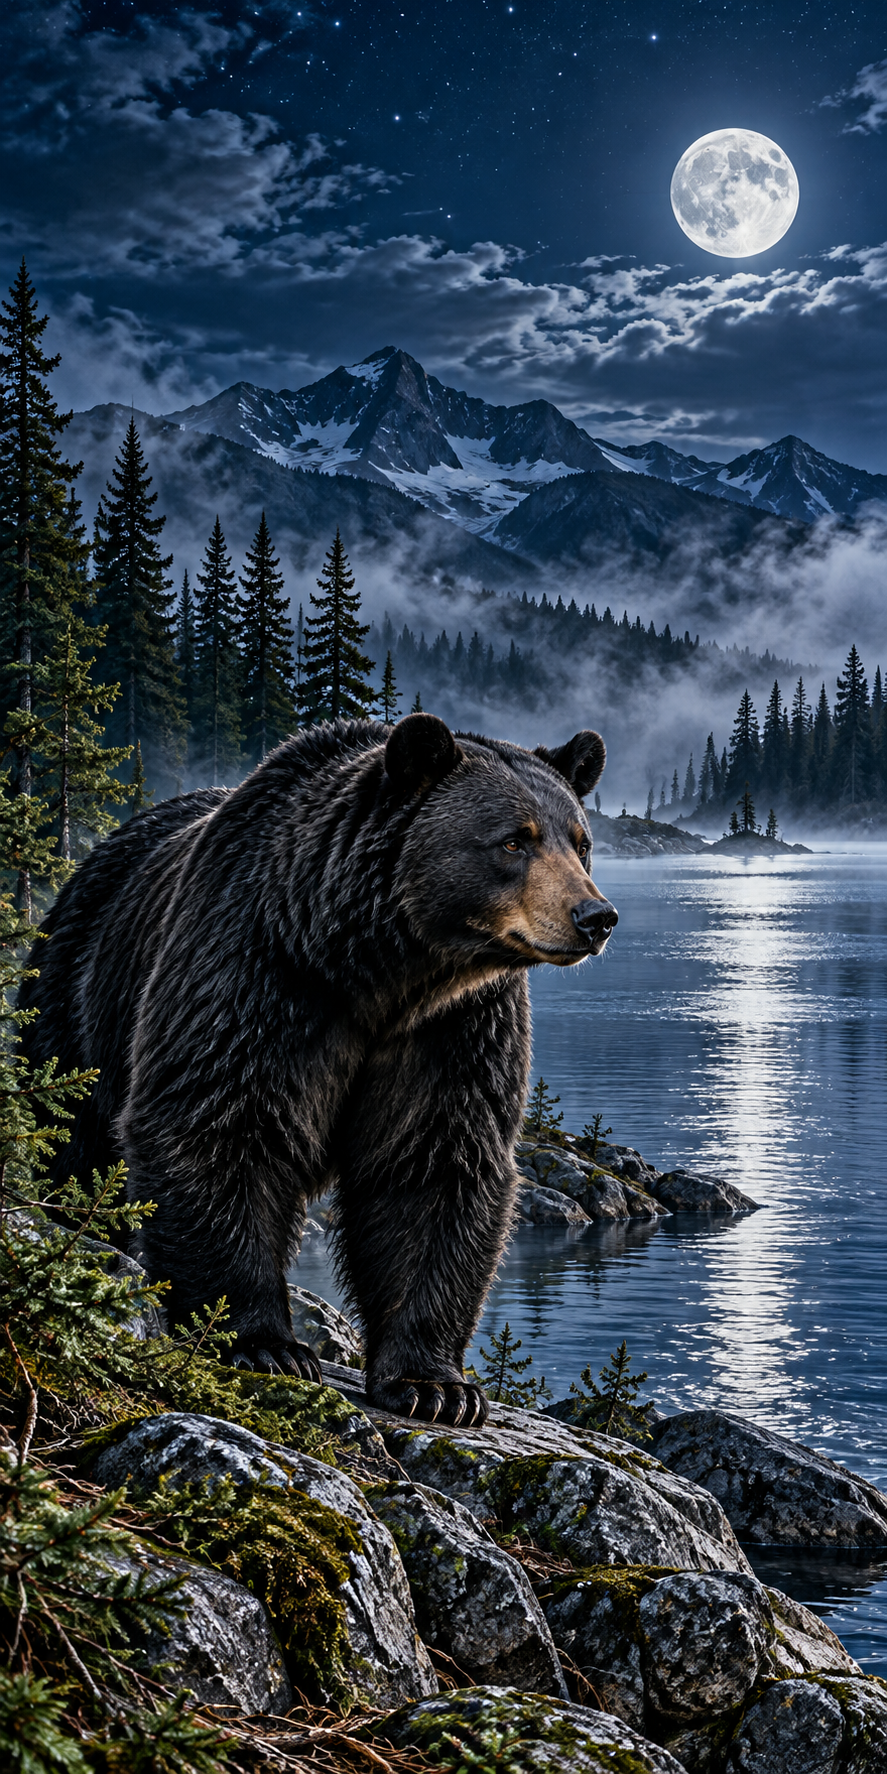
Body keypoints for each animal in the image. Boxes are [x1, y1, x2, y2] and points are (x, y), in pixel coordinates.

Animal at [20, 714, 617, 1426]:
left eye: (581, 843)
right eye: (512, 840)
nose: (595, 916)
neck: (380, 968)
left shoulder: (455, 1028)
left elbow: (432, 1163)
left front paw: (436, 1386)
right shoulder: (259, 971)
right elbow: (218, 1122)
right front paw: (264, 1343)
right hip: (77, 1005)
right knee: (72, 1138)